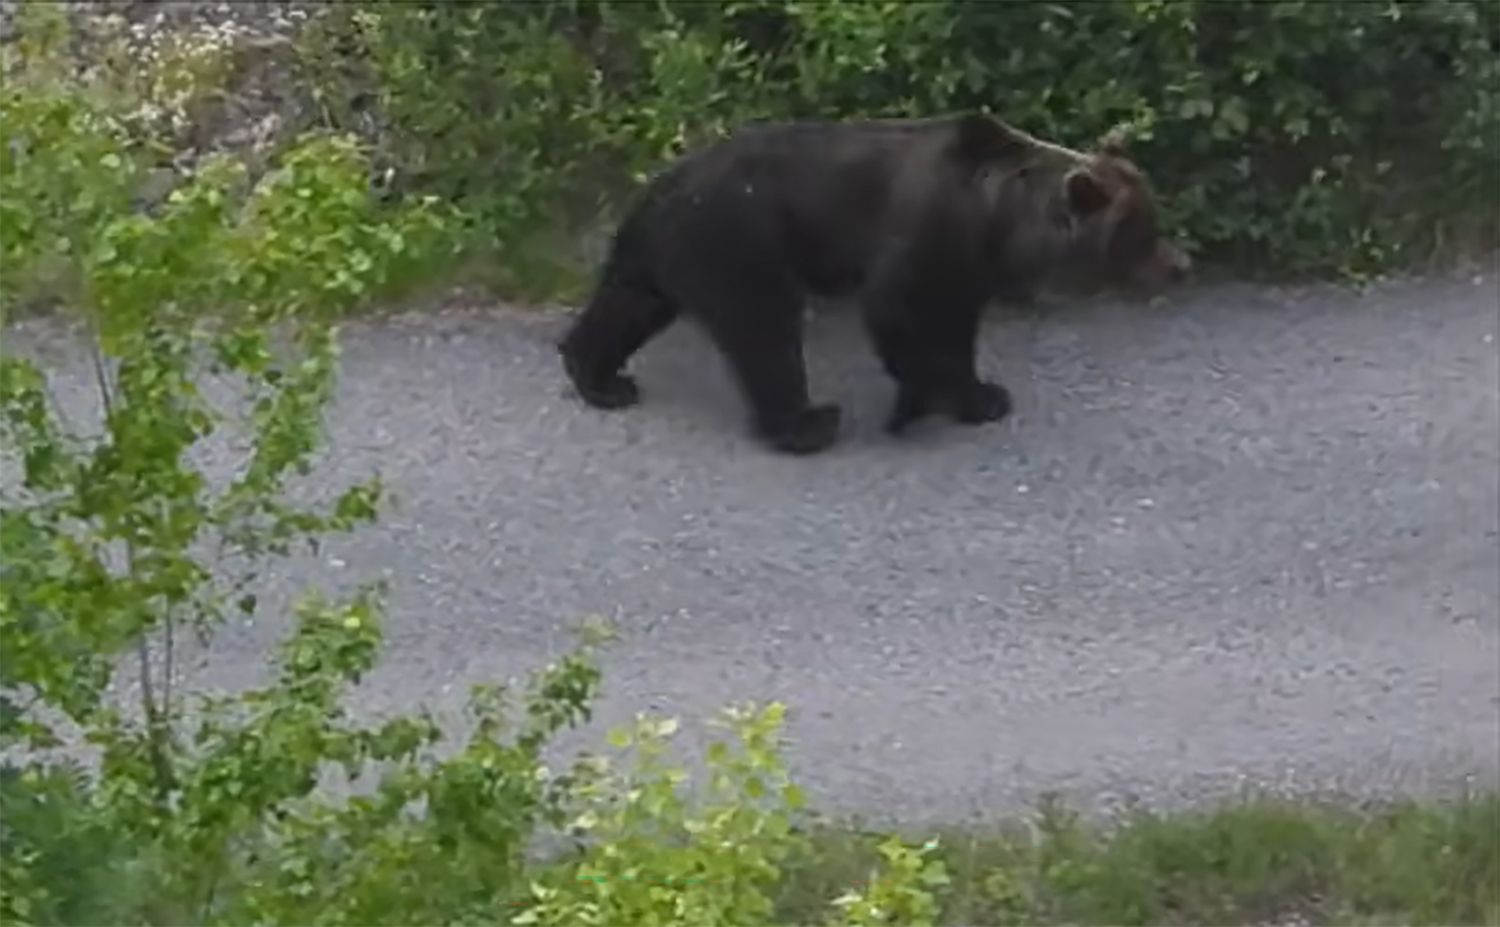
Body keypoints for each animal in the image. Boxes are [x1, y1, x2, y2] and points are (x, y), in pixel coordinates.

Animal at [557, 112, 1191, 455]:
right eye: (1142, 230)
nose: (1180, 264)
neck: (997, 219)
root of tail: (655, 188)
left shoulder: (966, 267)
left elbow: (955, 328)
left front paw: (982, 395)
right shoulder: (923, 234)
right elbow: (900, 312)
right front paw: (920, 403)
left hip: (666, 252)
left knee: (628, 304)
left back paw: (599, 377)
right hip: (741, 241)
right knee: (763, 331)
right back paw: (808, 422)